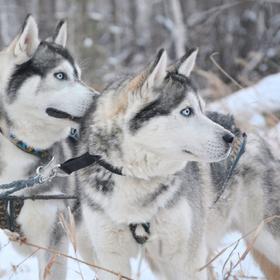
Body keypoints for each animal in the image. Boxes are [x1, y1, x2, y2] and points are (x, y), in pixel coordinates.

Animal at [77, 49, 238, 278]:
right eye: (187, 111)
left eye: (201, 109)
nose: (230, 138)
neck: (135, 176)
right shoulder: (111, 259)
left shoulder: (184, 259)